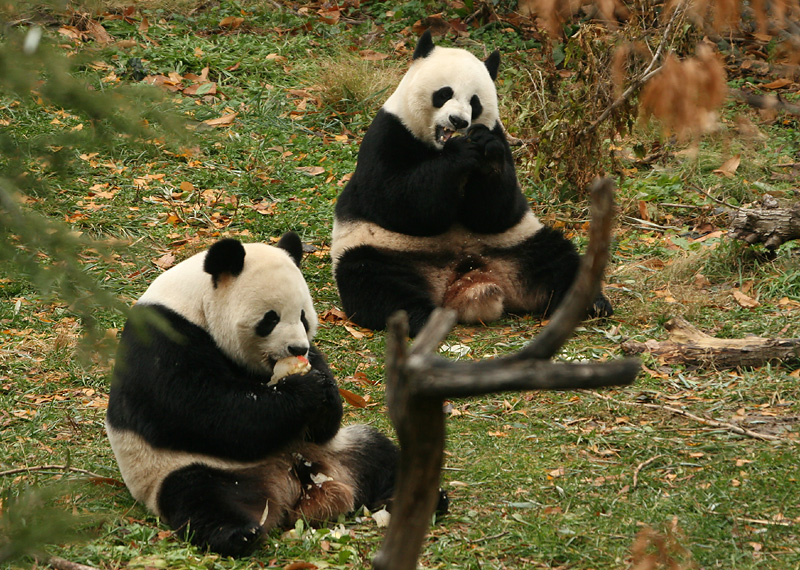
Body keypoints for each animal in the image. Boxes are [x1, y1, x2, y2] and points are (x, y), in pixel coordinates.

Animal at [106, 231, 400, 556]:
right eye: (270, 319)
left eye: (303, 317)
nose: (297, 348)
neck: (195, 304)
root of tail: (288, 485)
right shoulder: (163, 339)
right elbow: (211, 411)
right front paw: (306, 389)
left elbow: (323, 425)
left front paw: (324, 387)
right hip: (187, 470)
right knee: (200, 496)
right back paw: (239, 533)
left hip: (335, 451)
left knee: (379, 453)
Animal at [332, 31, 612, 336]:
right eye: (444, 93)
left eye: (474, 102)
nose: (458, 121)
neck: (438, 146)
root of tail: (472, 281)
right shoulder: (389, 133)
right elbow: (396, 202)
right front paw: (461, 153)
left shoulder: (500, 138)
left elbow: (495, 212)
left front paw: (486, 152)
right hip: (388, 251)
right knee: (375, 281)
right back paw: (421, 317)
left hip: (518, 246)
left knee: (559, 260)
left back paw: (592, 303)